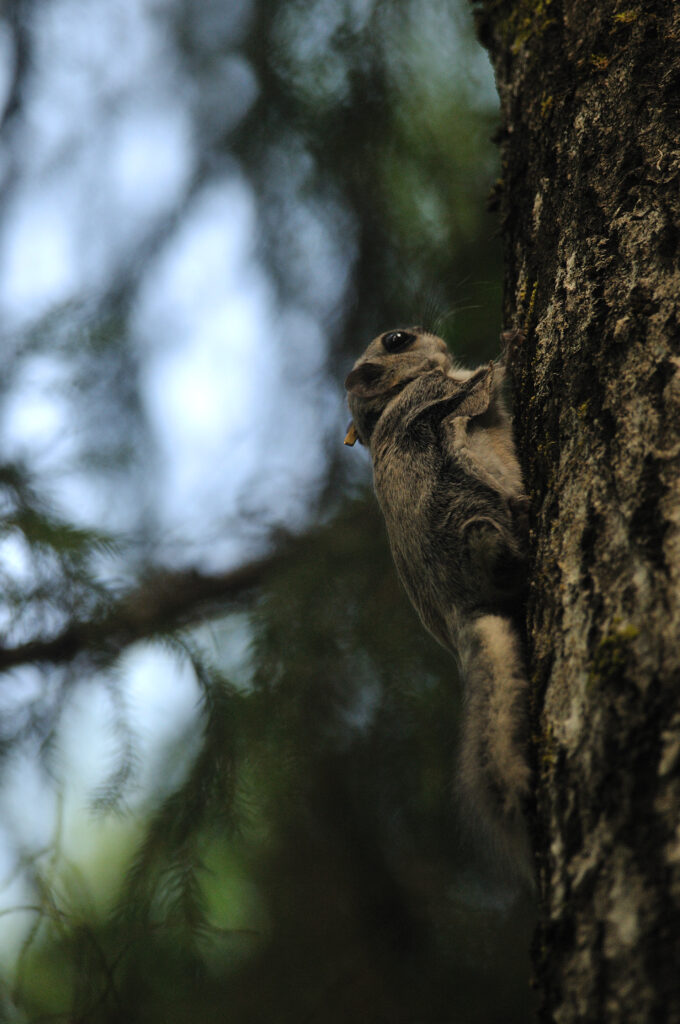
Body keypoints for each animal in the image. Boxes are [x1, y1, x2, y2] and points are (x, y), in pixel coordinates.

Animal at [345, 327, 533, 888]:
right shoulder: (438, 398)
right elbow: (484, 383)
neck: (389, 404)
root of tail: (462, 614)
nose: (439, 339)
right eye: (397, 339)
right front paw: (513, 342)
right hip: (471, 523)